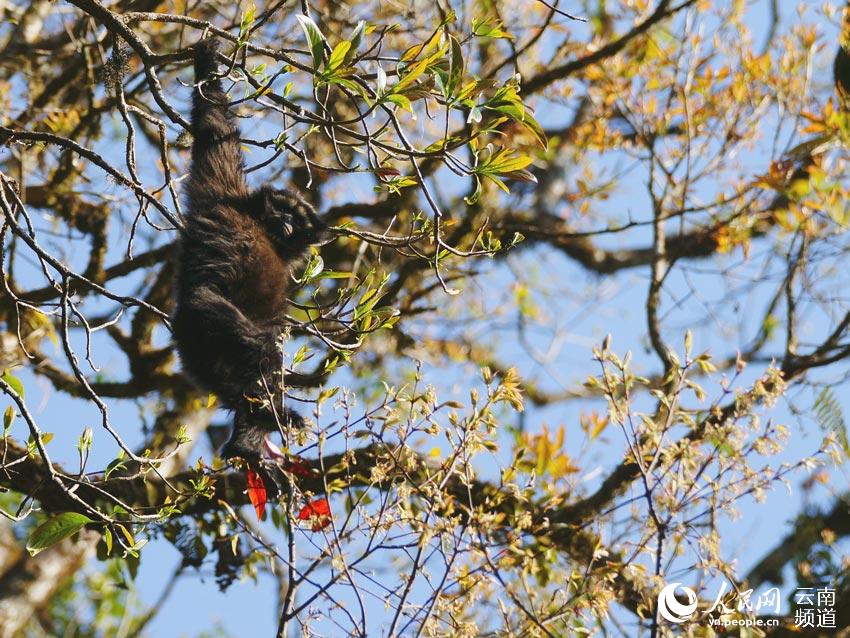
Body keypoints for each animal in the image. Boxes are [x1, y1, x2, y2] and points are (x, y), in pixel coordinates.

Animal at [172, 38, 326, 462]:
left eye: (298, 221)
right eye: (283, 210)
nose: (287, 223)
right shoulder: (223, 192)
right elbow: (214, 126)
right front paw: (207, 56)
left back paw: (247, 439)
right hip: (204, 312)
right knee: (262, 351)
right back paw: (266, 418)